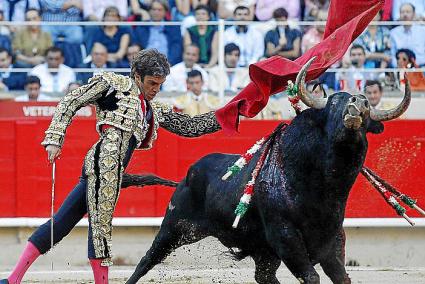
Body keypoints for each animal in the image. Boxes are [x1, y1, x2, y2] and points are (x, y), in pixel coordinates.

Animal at [121, 61, 410, 282]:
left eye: (368, 107)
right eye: (333, 104)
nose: (356, 104)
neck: (322, 187)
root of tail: (192, 170)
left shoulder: (333, 241)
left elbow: (342, 277)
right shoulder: (286, 237)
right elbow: (311, 276)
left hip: (261, 251)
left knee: (264, 277)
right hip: (175, 226)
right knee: (147, 260)